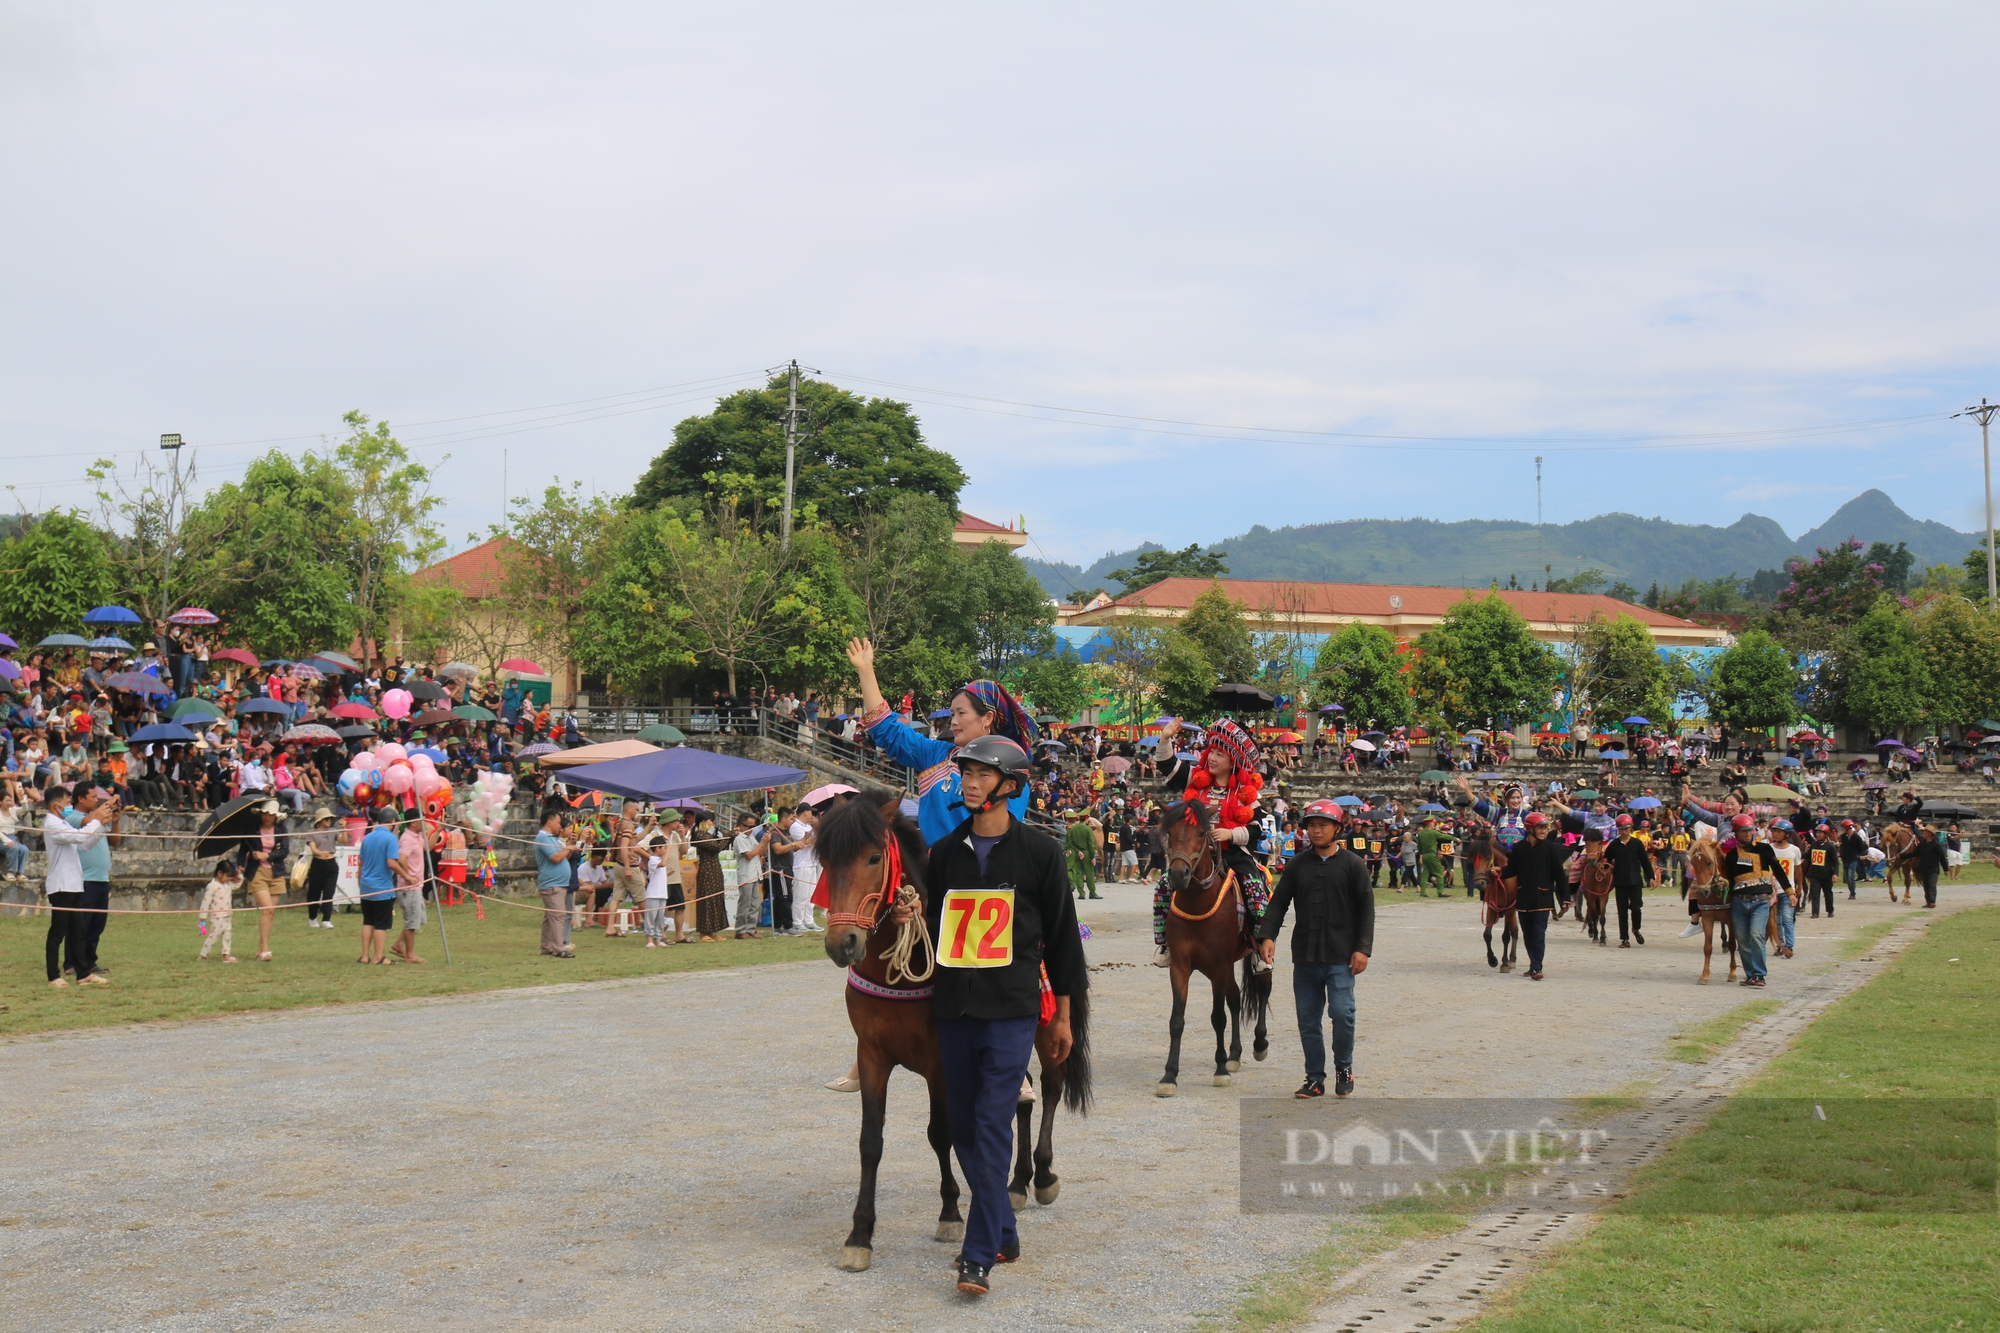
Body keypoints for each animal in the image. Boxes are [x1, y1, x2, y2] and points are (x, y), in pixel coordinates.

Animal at [812, 788, 1096, 1264]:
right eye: (826, 862)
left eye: (874, 857)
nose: (843, 943)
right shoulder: (872, 1054)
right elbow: (871, 1141)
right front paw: (859, 1235)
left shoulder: (939, 1061)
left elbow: (940, 1133)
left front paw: (950, 1213)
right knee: (1022, 1098)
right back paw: (1017, 1183)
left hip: (1047, 1030)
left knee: (1051, 1087)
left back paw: (1042, 1176)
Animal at [1160, 800, 1264, 1088]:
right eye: (1170, 833)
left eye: (1202, 834)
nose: (1179, 874)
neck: (1198, 903)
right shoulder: (1181, 966)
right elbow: (1176, 1020)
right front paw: (1169, 1075)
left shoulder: (1218, 966)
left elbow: (1218, 1017)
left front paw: (1220, 1070)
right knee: (1236, 999)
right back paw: (1235, 1054)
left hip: (1258, 953)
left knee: (1263, 993)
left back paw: (1259, 1044)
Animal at [1472, 832, 1512, 964]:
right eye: (1471, 859)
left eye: (1488, 858)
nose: (1479, 883)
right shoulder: (1492, 908)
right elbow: (1487, 935)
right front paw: (1492, 959)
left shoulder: (1510, 909)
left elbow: (1506, 936)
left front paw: (1505, 960)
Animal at [1688, 836, 1736, 980]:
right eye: (1693, 864)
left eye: (1709, 863)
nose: (1702, 892)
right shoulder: (1707, 918)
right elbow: (1707, 948)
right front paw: (1704, 975)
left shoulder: (1732, 920)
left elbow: (1733, 945)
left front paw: (1732, 972)